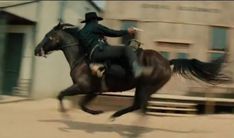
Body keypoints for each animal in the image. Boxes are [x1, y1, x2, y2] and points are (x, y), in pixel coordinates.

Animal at [34, 22, 230, 118]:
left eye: (48, 36)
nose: (36, 50)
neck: (81, 57)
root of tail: (167, 61)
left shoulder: (82, 87)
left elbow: (61, 94)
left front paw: (65, 113)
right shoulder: (93, 90)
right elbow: (81, 104)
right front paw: (96, 112)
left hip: (144, 86)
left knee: (138, 105)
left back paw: (116, 115)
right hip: (145, 89)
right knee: (139, 105)